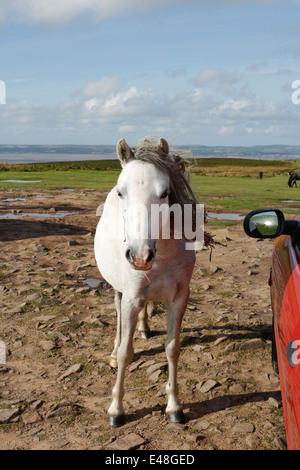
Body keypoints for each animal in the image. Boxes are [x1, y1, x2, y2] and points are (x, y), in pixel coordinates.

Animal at [94, 137, 197, 426]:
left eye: (164, 193)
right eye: (121, 192)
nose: (140, 257)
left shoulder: (179, 298)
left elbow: (173, 348)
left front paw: (174, 406)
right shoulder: (131, 298)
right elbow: (126, 353)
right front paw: (116, 410)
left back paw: (144, 327)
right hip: (119, 291)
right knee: (118, 317)